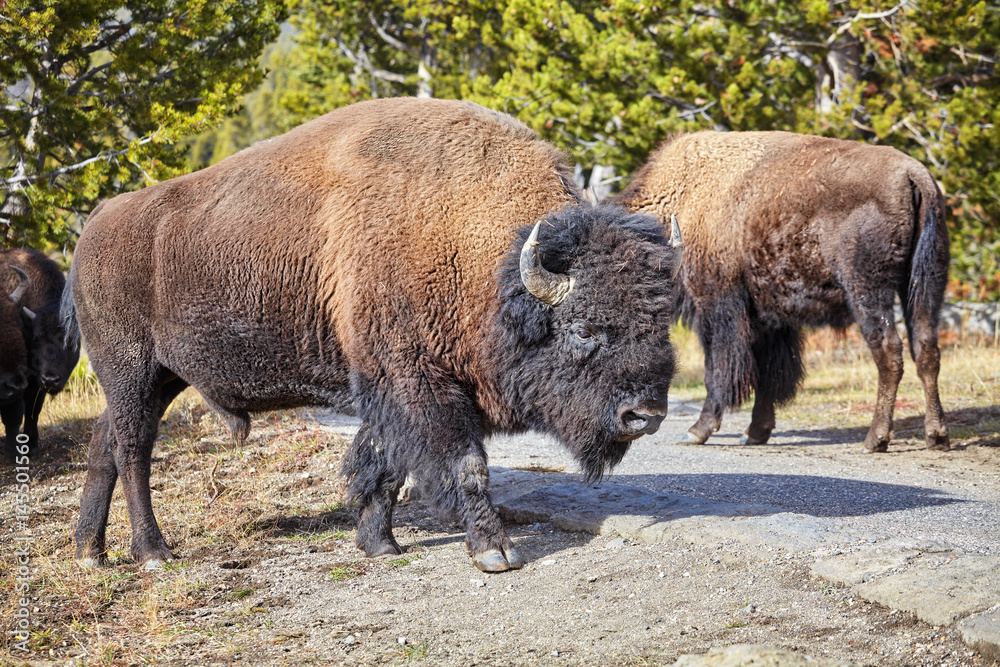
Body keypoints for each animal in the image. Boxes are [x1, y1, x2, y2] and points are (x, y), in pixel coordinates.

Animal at [1, 249, 81, 454]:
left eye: (71, 342)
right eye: (36, 339)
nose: (51, 380)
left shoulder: (36, 383)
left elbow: (33, 410)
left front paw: (32, 445)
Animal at [64, 98, 683, 571]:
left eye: (662, 321)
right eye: (583, 328)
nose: (645, 415)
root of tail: (93, 228)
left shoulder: (390, 388)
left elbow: (384, 464)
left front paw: (380, 544)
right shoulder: (418, 383)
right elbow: (465, 464)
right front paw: (495, 553)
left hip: (157, 377)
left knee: (104, 445)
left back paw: (91, 552)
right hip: (132, 370)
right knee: (133, 451)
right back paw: (152, 553)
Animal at [616, 130, 949, 453]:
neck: (683, 199)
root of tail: (912, 174)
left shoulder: (716, 307)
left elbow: (718, 370)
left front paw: (698, 431)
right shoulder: (768, 319)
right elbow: (771, 374)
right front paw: (755, 433)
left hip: (868, 291)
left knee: (889, 352)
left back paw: (875, 440)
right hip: (923, 288)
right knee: (926, 349)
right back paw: (936, 436)